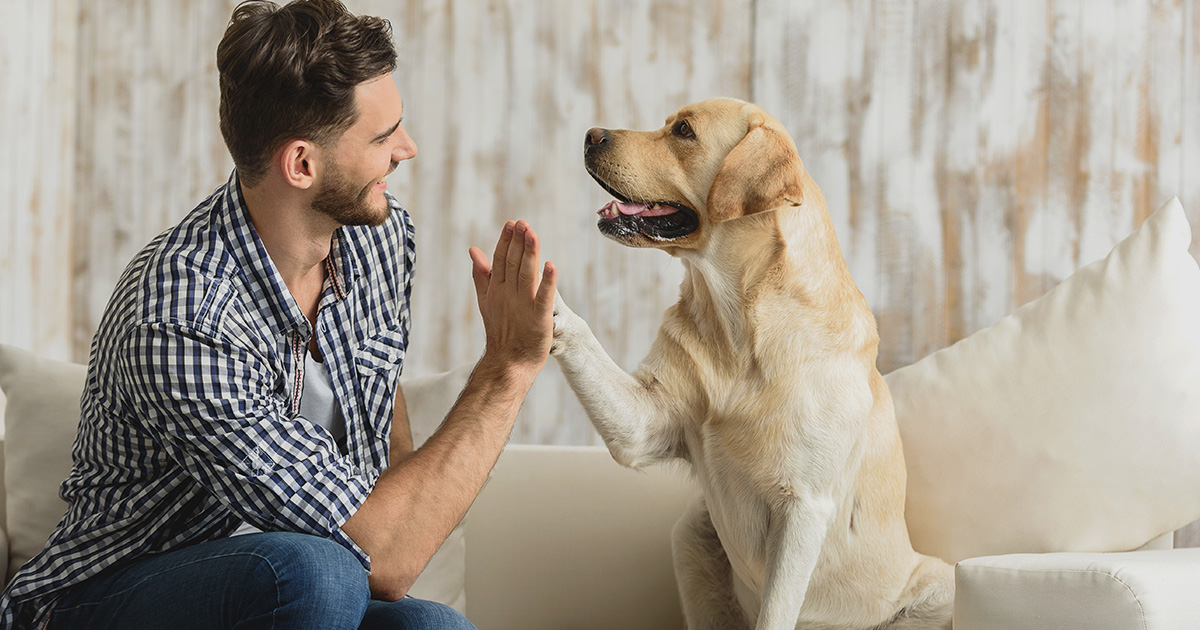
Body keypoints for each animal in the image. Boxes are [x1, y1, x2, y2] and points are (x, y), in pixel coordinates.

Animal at [549, 96, 950, 624]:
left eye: (683, 131)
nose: (591, 135)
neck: (738, 324)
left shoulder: (804, 506)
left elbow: (776, 612)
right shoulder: (644, 423)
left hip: (940, 586)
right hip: (692, 533)